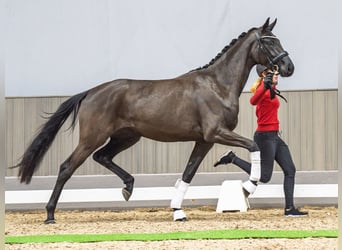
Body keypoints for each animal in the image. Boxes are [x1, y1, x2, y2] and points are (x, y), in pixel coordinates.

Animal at [14, 18, 294, 223]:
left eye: (278, 40)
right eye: (268, 43)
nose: (288, 67)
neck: (218, 85)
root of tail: (91, 92)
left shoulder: (204, 140)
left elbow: (188, 173)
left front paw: (178, 211)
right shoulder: (216, 133)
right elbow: (254, 146)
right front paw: (248, 187)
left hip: (127, 136)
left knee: (102, 157)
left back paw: (128, 188)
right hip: (92, 138)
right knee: (67, 167)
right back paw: (50, 214)